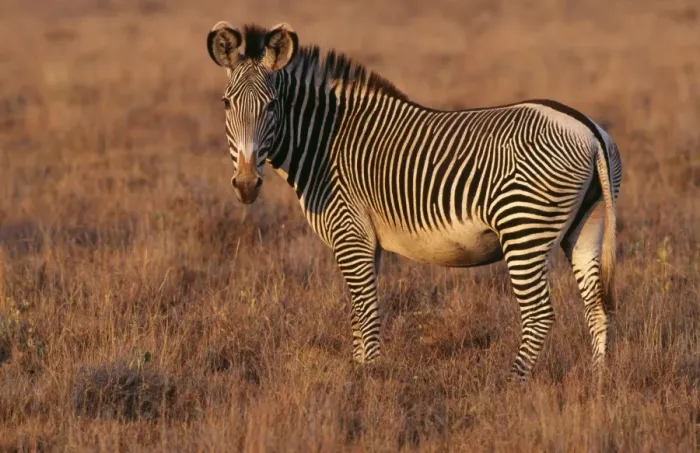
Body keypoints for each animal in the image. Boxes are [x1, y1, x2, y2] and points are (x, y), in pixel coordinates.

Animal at [205, 21, 623, 381]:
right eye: (226, 104)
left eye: (272, 105)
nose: (246, 185)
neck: (325, 141)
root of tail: (587, 130)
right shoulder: (366, 242)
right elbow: (358, 316)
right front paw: (361, 372)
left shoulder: (351, 234)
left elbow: (367, 314)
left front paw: (369, 383)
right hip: (587, 226)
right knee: (598, 308)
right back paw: (597, 384)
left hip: (524, 227)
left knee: (538, 315)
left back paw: (511, 384)